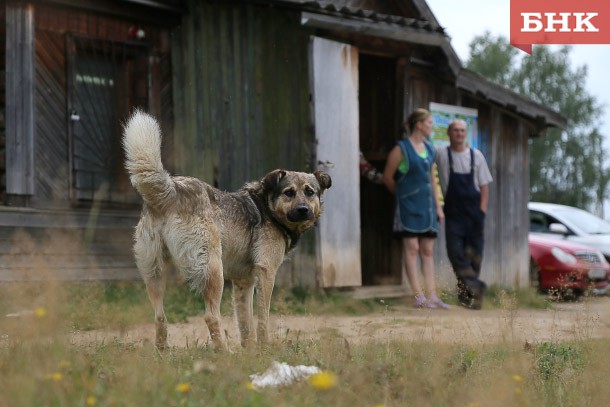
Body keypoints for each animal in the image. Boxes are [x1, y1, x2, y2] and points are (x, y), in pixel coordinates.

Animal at [121, 111, 330, 350]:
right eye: (289, 192)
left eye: (310, 192)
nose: (304, 210)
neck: (267, 207)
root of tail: (172, 190)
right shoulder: (266, 272)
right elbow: (262, 318)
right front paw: (265, 347)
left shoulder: (243, 282)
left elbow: (246, 323)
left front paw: (250, 351)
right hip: (213, 270)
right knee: (211, 316)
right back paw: (223, 352)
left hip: (154, 273)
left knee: (159, 317)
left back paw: (164, 351)